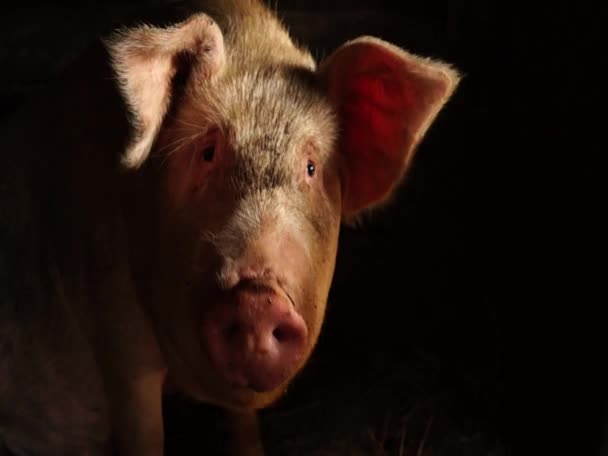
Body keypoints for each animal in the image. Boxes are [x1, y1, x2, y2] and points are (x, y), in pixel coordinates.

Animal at [0, 0, 458, 456]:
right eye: (207, 153)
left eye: (311, 167)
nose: (258, 300)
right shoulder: (113, 324)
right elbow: (144, 434)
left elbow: (244, 423)